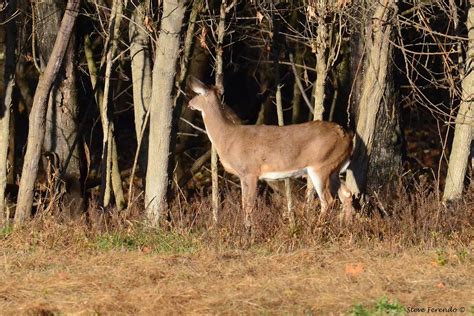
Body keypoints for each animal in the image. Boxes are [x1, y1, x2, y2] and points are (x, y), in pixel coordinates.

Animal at [187, 76, 354, 230]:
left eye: (197, 94)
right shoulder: (242, 175)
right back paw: (345, 227)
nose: (189, 103)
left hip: (321, 166)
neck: (227, 137)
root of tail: (347, 137)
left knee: (328, 200)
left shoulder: (251, 171)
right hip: (334, 168)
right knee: (346, 194)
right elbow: (244, 203)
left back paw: (316, 228)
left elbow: (248, 205)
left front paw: (248, 231)